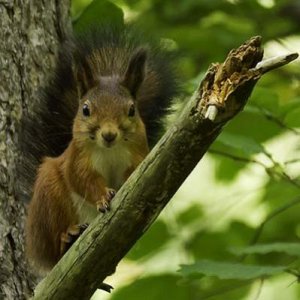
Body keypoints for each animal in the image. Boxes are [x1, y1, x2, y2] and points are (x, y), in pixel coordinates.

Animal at [19, 25, 179, 278]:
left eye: (132, 110)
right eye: (85, 109)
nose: (109, 134)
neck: (110, 150)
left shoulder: (138, 154)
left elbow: (136, 176)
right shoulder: (77, 158)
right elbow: (81, 178)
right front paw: (103, 196)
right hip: (49, 198)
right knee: (53, 254)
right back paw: (67, 239)